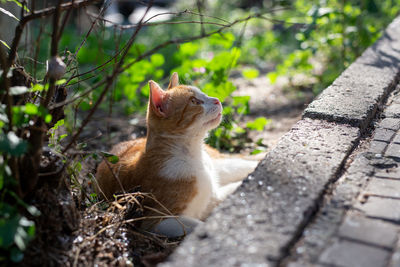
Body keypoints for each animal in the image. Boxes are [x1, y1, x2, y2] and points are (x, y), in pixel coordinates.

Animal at [95, 72, 258, 236]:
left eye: (203, 94)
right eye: (194, 101)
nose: (217, 100)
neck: (192, 156)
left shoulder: (212, 196)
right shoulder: (155, 221)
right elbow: (201, 224)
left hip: (223, 165)